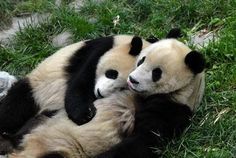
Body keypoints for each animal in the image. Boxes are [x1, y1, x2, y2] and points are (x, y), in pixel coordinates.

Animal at [7, 37, 205, 157]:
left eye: (156, 73)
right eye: (141, 61)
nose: (133, 80)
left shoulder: (172, 108)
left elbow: (143, 138)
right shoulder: (96, 51)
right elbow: (81, 80)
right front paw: (83, 114)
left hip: (59, 145)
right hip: (39, 96)